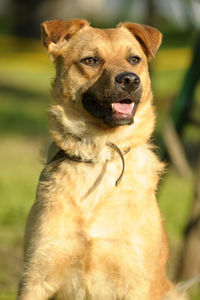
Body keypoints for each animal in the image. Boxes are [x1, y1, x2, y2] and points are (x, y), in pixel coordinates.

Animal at [16, 19, 186, 300]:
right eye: (91, 60)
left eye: (134, 59)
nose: (129, 79)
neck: (100, 154)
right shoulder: (36, 275)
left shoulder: (135, 281)